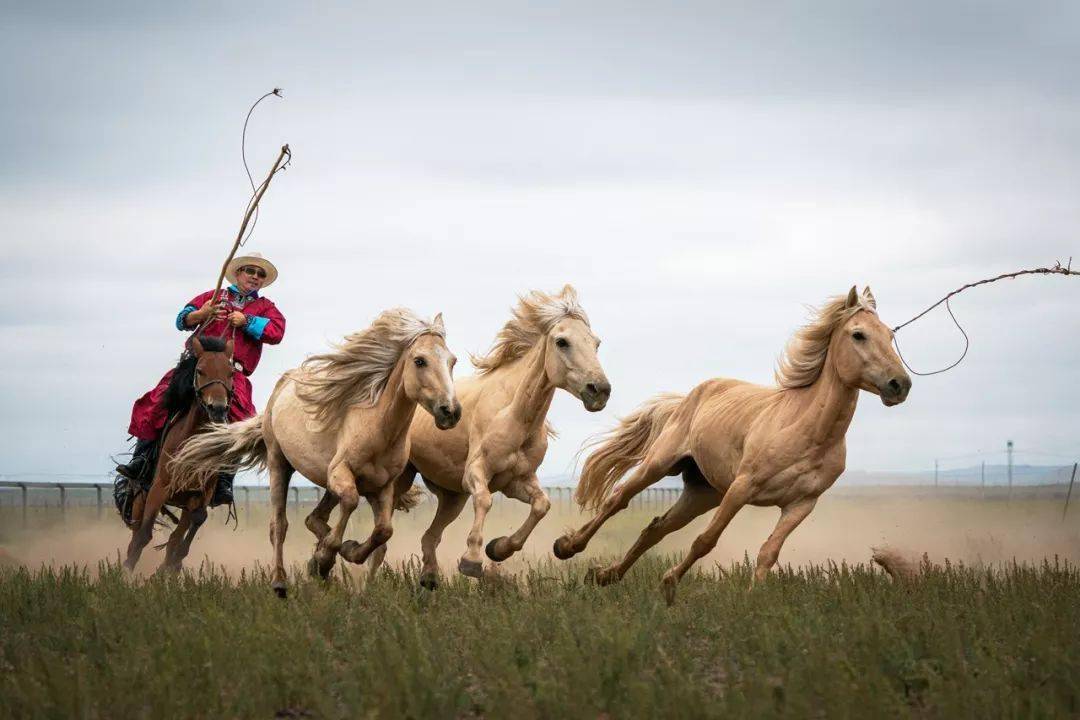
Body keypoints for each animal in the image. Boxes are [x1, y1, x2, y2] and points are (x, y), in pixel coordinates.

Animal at [125, 336, 237, 574]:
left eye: (231, 373)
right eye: (200, 370)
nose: (218, 409)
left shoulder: (200, 494)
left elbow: (192, 526)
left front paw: (172, 565)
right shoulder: (158, 489)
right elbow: (143, 536)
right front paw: (125, 573)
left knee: (176, 536)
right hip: (140, 497)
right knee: (136, 534)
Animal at [166, 310, 457, 595]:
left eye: (452, 361)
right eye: (420, 361)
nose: (450, 411)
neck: (377, 428)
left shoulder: (383, 486)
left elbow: (383, 531)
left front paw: (338, 553)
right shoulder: (341, 473)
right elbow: (351, 504)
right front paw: (327, 557)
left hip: (326, 482)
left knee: (313, 518)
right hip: (279, 463)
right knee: (279, 525)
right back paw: (281, 581)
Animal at [352, 284, 613, 587]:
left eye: (596, 343)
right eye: (562, 341)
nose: (600, 390)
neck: (514, 415)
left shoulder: (516, 481)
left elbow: (542, 505)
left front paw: (498, 548)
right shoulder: (476, 473)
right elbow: (486, 500)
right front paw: (472, 560)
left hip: (452, 497)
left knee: (430, 537)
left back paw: (429, 578)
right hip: (402, 481)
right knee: (383, 539)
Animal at [552, 287, 907, 604]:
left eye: (889, 335)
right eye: (859, 335)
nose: (900, 384)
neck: (807, 430)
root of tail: (689, 397)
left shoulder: (801, 504)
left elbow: (768, 552)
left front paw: (749, 597)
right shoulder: (742, 488)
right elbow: (705, 541)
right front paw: (669, 584)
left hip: (703, 492)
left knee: (656, 528)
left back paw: (605, 575)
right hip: (659, 465)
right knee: (617, 501)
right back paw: (568, 547)